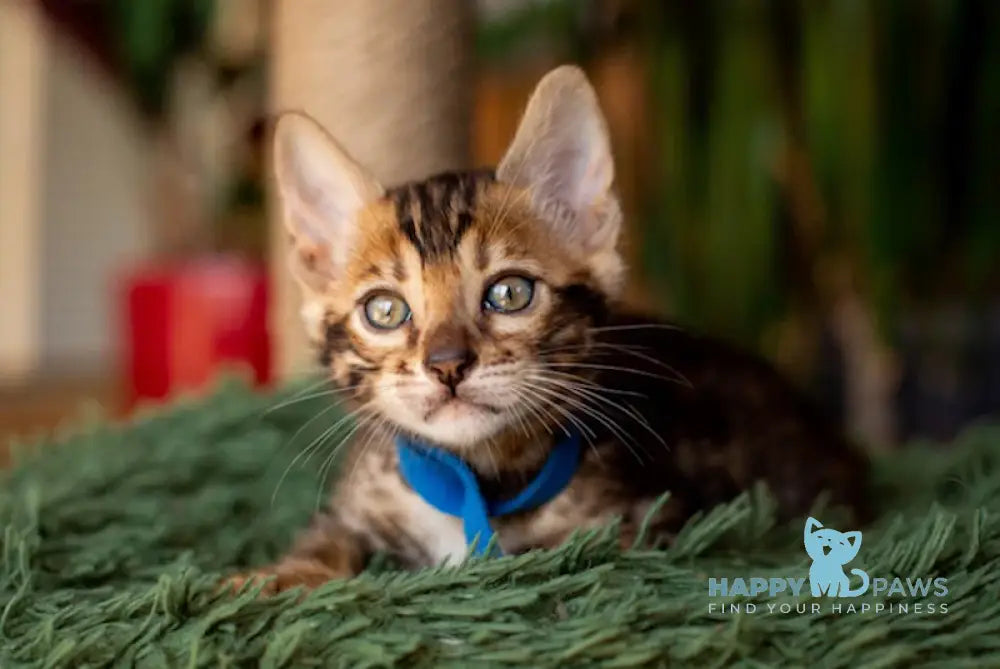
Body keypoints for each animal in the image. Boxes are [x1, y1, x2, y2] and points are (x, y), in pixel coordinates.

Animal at [229, 65, 868, 592]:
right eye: (384, 311)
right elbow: (328, 540)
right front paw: (266, 580)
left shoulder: (651, 521)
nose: (447, 364)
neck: (480, 484)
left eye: (509, 294)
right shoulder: (361, 499)